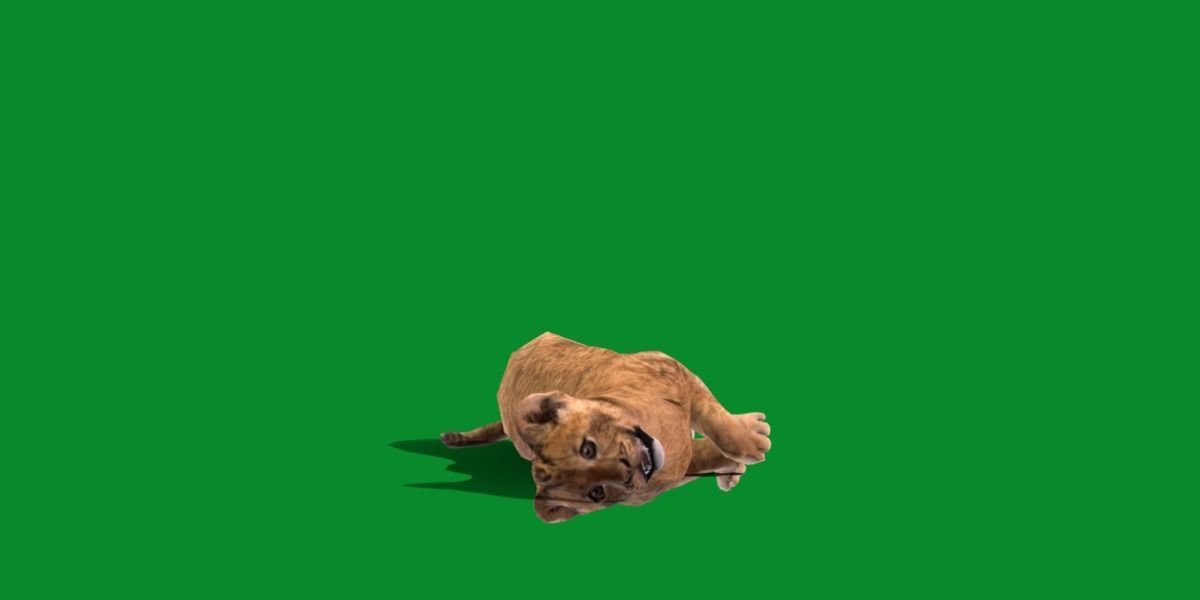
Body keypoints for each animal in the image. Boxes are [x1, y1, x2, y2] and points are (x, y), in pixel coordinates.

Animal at [439, 332, 772, 522]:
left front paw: (751, 440)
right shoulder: (674, 471)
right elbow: (705, 451)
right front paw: (745, 454)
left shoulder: (672, 367)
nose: (627, 471)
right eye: (596, 493)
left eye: (588, 448)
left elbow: (715, 417)